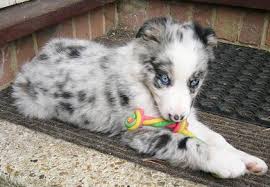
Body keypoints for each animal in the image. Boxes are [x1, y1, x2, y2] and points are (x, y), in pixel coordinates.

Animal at [11, 16, 266, 178]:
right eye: (163, 78)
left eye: (193, 82)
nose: (176, 117)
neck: (145, 86)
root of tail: (34, 60)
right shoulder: (140, 132)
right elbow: (186, 142)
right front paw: (227, 162)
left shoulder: (188, 118)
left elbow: (215, 137)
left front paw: (248, 159)